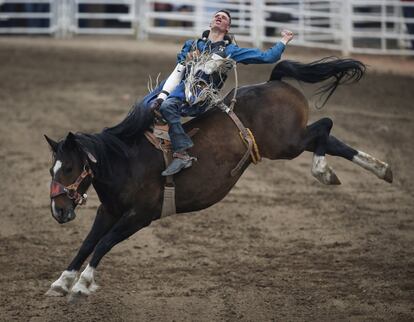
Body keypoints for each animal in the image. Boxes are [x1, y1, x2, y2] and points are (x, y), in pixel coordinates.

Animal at [43, 57, 392, 300]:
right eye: (51, 170)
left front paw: (83, 285)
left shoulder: (140, 216)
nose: (58, 211)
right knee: (331, 139)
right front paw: (61, 281)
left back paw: (324, 171)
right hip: (291, 141)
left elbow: (104, 243)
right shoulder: (109, 211)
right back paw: (380, 169)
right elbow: (87, 242)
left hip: (288, 144)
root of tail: (273, 82)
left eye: (69, 168)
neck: (126, 162)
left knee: (325, 126)